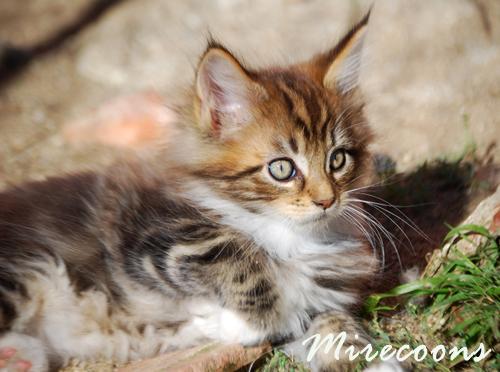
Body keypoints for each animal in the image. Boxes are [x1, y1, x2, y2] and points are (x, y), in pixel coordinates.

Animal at [0, 12, 398, 372]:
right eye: (282, 168)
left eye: (337, 159)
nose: (327, 200)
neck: (288, 236)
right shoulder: (152, 235)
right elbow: (236, 256)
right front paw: (247, 323)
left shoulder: (323, 294)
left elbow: (336, 325)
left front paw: (368, 360)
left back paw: (19, 357)